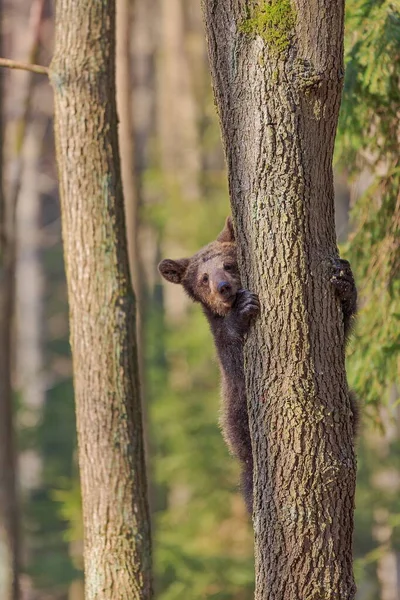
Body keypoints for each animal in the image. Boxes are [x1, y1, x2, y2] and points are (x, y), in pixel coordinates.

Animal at [158, 218, 358, 512]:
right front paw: (243, 307)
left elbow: (340, 326)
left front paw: (344, 281)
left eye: (228, 265)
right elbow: (232, 350)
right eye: (203, 278)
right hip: (241, 426)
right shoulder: (229, 363)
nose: (223, 287)